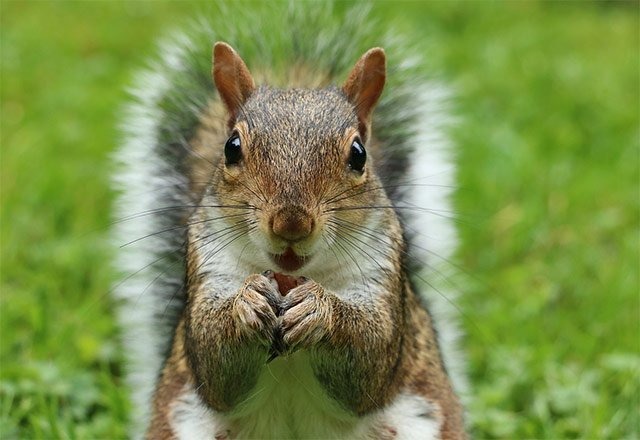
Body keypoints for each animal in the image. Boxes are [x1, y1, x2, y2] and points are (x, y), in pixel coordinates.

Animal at [112, 2, 468, 436]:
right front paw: (246, 302)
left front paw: (319, 309)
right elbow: (214, 364)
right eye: (231, 147)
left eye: (358, 154)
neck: (294, 276)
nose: (291, 224)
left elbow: (370, 358)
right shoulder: (208, 264)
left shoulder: (382, 277)